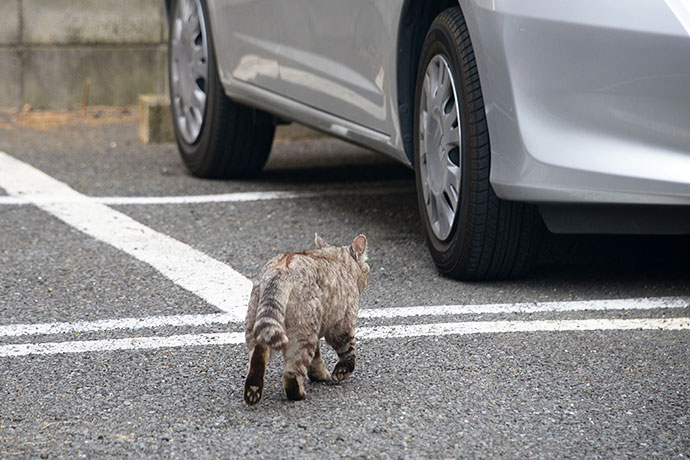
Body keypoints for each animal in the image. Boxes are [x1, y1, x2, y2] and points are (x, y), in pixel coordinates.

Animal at [243, 235, 368, 404]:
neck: (334, 258)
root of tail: (281, 271)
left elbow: (316, 358)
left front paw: (319, 374)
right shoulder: (342, 324)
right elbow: (348, 350)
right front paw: (341, 371)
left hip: (259, 323)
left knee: (258, 354)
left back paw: (253, 389)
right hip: (302, 333)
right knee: (291, 373)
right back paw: (298, 393)